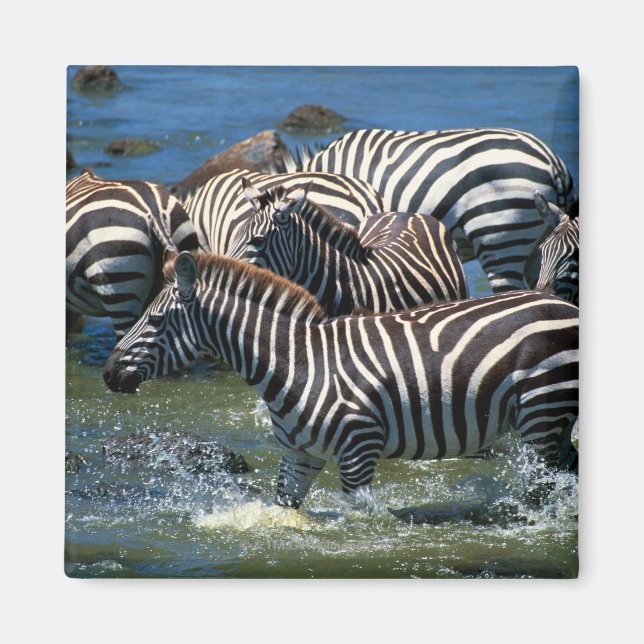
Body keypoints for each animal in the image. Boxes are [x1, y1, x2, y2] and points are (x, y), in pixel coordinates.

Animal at [103, 250, 579, 510]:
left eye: (156, 321)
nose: (108, 374)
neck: (298, 364)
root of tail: (564, 305)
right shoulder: (299, 455)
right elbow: (285, 508)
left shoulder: (358, 450)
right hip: (553, 421)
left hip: (541, 412)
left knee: (545, 486)